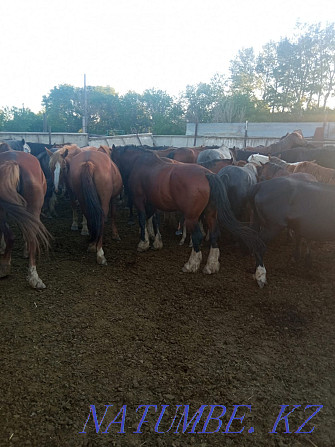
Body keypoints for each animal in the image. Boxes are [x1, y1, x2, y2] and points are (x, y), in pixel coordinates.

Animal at [111, 147, 262, 274]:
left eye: (112, 157)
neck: (141, 163)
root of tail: (207, 174)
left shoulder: (139, 199)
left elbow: (143, 219)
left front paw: (144, 243)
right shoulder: (153, 203)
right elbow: (152, 219)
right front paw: (155, 240)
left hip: (191, 217)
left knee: (197, 236)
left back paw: (191, 264)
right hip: (210, 215)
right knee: (214, 234)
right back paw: (211, 266)